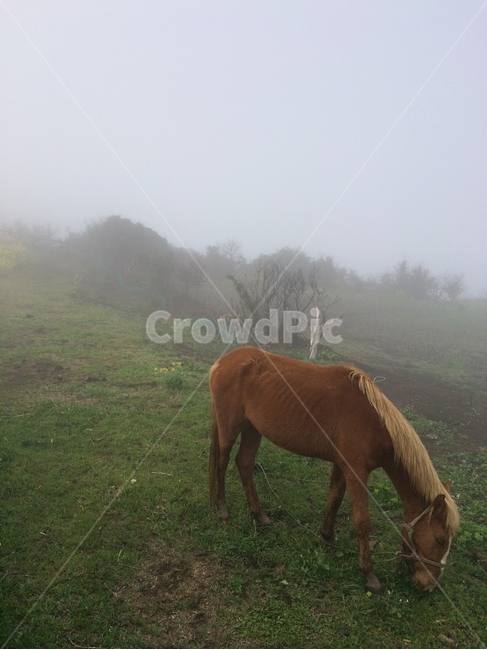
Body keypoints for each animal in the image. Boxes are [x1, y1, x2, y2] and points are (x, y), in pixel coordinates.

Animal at [208, 346, 459, 593]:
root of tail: (223, 362)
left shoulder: (342, 465)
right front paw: (369, 573)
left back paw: (260, 515)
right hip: (230, 427)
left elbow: (335, 499)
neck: (374, 422)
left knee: (244, 463)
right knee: (222, 462)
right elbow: (362, 521)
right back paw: (222, 510)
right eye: (440, 540)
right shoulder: (356, 472)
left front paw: (328, 537)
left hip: (253, 429)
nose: (429, 586)